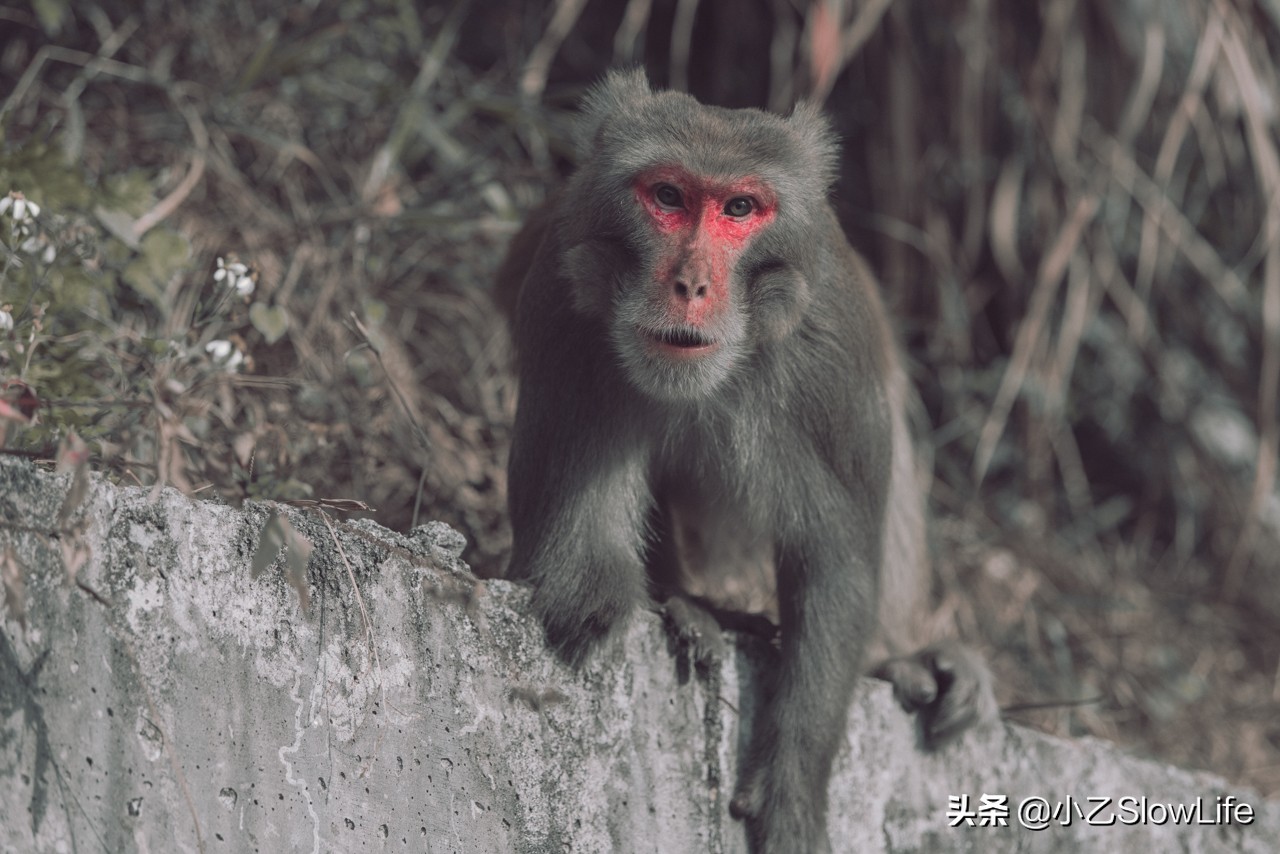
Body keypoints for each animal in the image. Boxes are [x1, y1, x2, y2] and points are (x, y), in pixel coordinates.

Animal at [494, 70, 993, 850]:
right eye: (668, 196)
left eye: (739, 208)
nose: (691, 285)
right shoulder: (563, 297)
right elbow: (581, 582)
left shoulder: (827, 350)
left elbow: (834, 558)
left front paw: (793, 782)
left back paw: (905, 660)